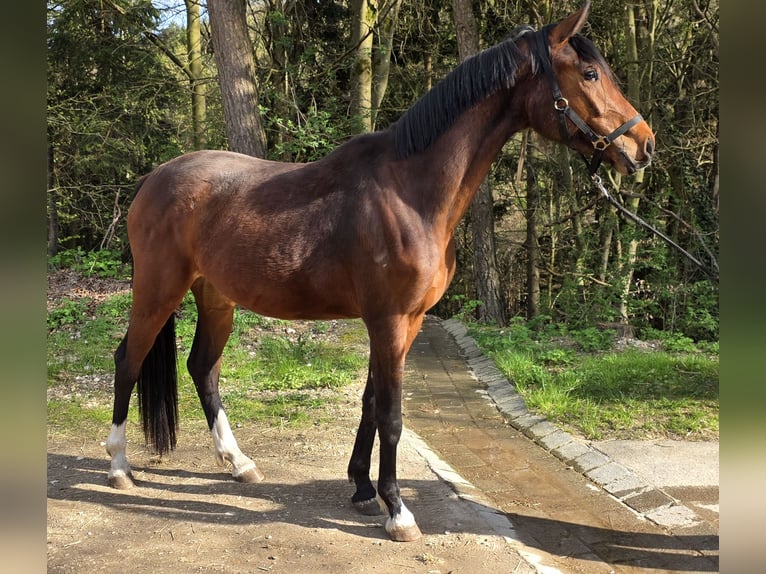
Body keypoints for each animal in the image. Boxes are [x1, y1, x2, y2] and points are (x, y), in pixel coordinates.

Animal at [106, 2, 654, 542]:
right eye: (589, 74)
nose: (643, 146)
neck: (410, 191)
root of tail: (154, 179)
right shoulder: (388, 320)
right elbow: (391, 415)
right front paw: (398, 511)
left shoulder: (406, 322)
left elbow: (371, 402)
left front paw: (363, 490)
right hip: (158, 291)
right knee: (128, 360)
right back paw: (119, 467)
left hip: (217, 298)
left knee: (203, 368)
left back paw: (238, 462)